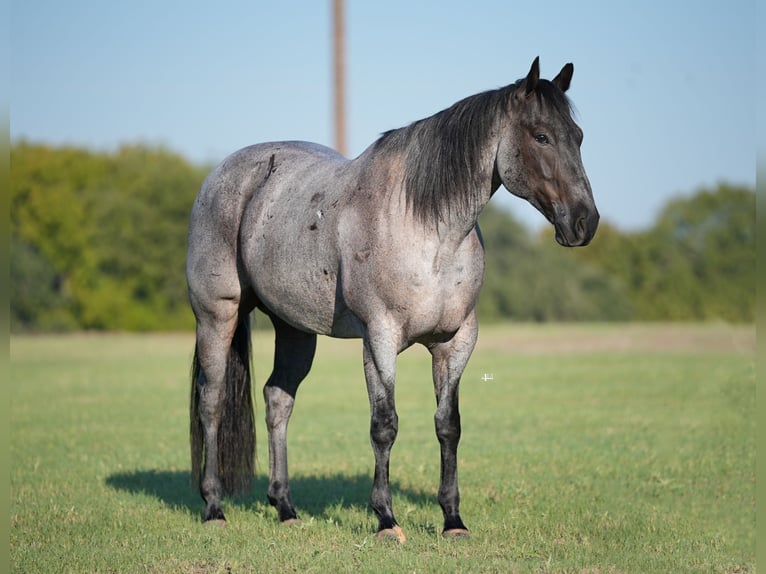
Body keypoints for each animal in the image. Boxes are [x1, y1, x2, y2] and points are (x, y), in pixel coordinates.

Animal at [186, 58, 600, 544]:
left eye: (578, 135)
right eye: (541, 136)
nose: (585, 223)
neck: (429, 229)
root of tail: (222, 175)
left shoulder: (456, 342)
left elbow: (448, 425)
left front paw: (452, 520)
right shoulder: (380, 338)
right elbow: (384, 425)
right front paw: (386, 518)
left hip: (295, 329)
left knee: (277, 399)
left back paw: (285, 507)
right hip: (218, 315)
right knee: (212, 400)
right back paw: (213, 507)